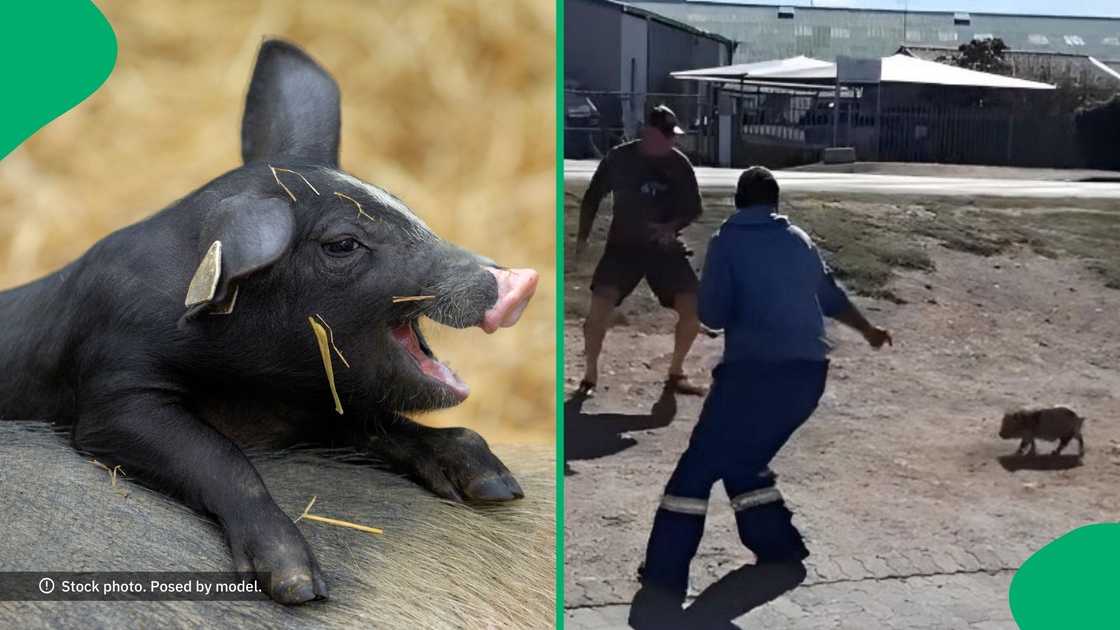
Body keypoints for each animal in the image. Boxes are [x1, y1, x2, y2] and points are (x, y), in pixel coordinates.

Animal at [0, 39, 538, 605]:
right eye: (342, 244)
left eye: (405, 207)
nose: (519, 280)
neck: (255, 389)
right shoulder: (114, 386)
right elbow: (219, 455)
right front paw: (299, 586)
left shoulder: (315, 407)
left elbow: (381, 423)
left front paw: (498, 485)